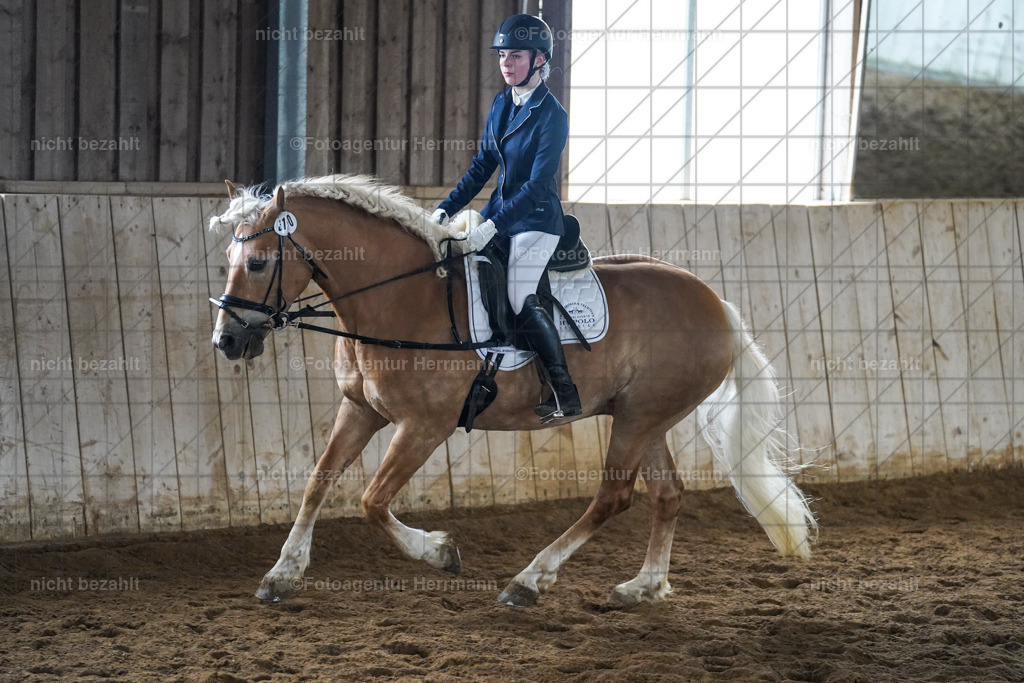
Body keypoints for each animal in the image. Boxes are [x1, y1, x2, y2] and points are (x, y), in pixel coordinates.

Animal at [208, 174, 817, 608]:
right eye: (228, 260)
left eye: (258, 262)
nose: (227, 341)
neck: (401, 298)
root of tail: (715, 303)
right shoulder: (359, 409)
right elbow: (318, 482)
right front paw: (282, 573)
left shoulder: (424, 426)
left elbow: (371, 500)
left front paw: (439, 552)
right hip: (646, 417)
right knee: (666, 494)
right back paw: (642, 587)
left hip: (639, 418)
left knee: (613, 496)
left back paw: (529, 581)